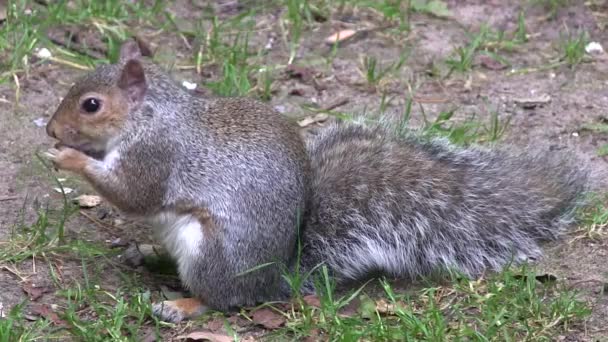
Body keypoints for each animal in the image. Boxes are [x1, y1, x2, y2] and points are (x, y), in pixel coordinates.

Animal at [45, 38, 592, 322]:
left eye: (91, 105)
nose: (51, 129)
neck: (149, 118)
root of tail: (277, 275)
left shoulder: (157, 156)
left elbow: (134, 193)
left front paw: (69, 158)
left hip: (212, 253)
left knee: (224, 299)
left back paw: (180, 303)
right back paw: (148, 254)